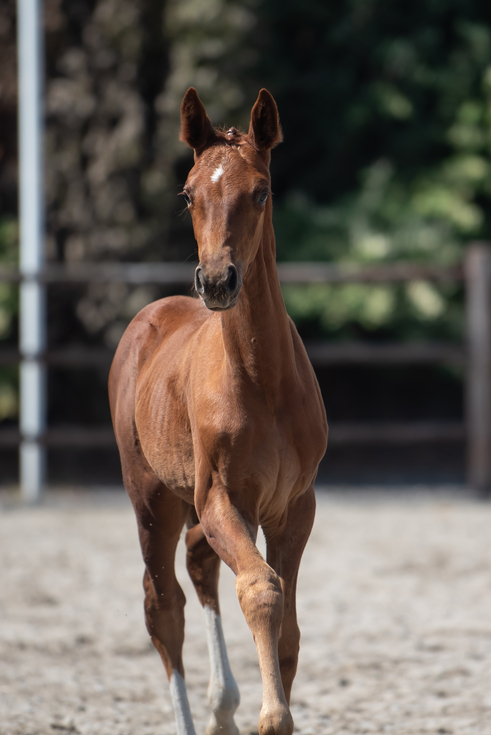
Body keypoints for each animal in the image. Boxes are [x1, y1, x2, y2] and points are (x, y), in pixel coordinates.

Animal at [108, 87, 328, 735]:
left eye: (261, 190)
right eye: (187, 193)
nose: (216, 282)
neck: (264, 381)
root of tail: (151, 314)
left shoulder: (294, 506)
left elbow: (288, 633)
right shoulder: (222, 498)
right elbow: (260, 589)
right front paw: (272, 716)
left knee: (199, 565)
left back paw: (221, 704)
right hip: (151, 496)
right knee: (164, 606)